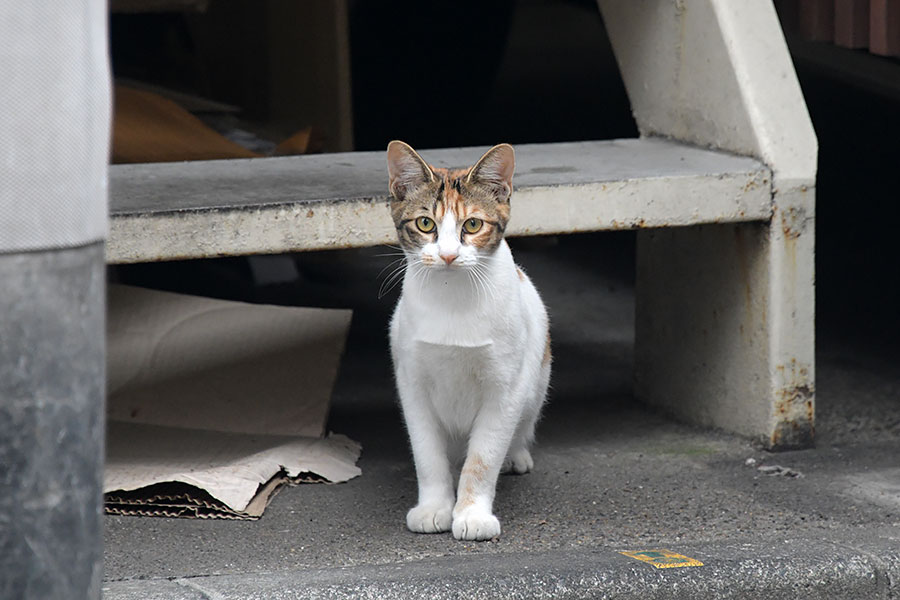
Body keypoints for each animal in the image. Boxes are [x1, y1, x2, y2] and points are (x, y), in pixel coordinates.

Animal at [384, 142, 548, 544]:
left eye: (472, 224)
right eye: (425, 223)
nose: (447, 255)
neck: (452, 295)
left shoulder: (505, 387)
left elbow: (483, 457)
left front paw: (472, 513)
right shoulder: (412, 382)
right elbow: (427, 453)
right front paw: (433, 507)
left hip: (536, 383)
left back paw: (516, 455)